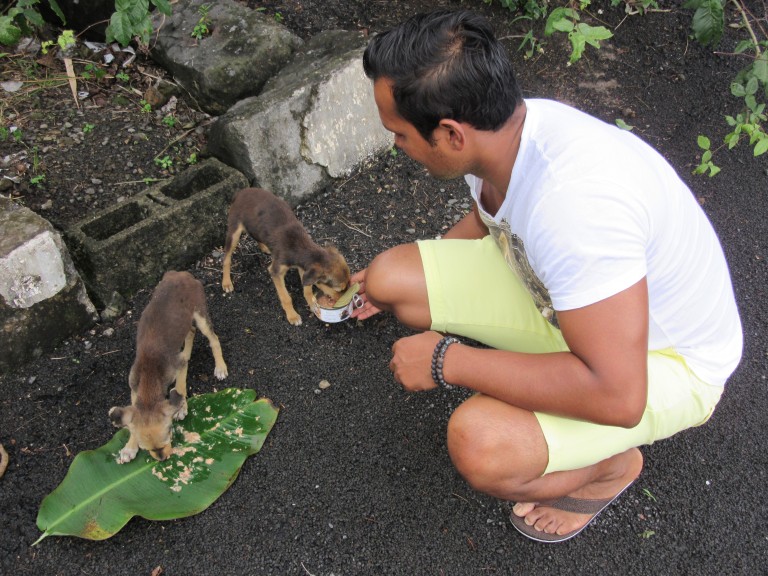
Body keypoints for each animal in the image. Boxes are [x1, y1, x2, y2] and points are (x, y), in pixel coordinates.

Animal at [109, 270, 228, 464]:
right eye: (145, 448)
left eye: (170, 434)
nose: (163, 459)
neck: (149, 375)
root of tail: (181, 273)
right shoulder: (134, 387)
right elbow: (134, 417)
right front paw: (129, 446)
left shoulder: (178, 366)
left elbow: (179, 387)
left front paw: (182, 408)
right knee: (190, 332)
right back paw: (187, 352)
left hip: (200, 314)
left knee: (213, 338)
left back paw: (220, 367)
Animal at [220, 188, 350, 326]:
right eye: (339, 289)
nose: (344, 303)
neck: (300, 247)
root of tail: (240, 192)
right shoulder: (276, 271)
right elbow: (286, 297)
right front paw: (292, 316)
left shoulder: (304, 268)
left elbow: (308, 289)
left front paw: (312, 303)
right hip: (234, 231)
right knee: (226, 258)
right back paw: (226, 282)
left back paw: (265, 247)